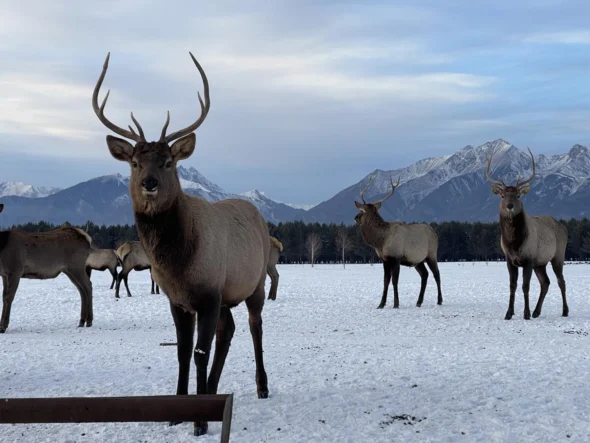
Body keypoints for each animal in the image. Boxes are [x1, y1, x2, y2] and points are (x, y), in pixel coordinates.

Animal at [93, 50, 272, 436]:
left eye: (168, 161)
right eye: (134, 161)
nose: (149, 183)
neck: (178, 263)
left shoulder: (208, 293)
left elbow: (199, 352)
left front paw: (200, 420)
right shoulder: (179, 299)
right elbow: (182, 349)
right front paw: (178, 411)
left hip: (255, 282)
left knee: (254, 326)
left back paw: (262, 386)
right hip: (227, 295)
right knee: (228, 330)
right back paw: (216, 389)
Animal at [354, 176, 442, 308]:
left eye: (362, 211)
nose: (355, 218)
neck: (380, 242)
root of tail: (435, 233)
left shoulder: (395, 257)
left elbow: (395, 281)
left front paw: (396, 303)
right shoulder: (385, 259)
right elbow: (386, 281)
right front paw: (381, 304)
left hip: (431, 254)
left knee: (436, 274)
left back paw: (439, 300)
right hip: (417, 260)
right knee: (425, 275)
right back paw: (419, 302)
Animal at [488, 148, 572, 320]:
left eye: (518, 195)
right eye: (502, 195)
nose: (510, 205)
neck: (514, 243)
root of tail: (564, 227)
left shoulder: (528, 259)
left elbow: (525, 286)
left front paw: (525, 313)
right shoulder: (509, 259)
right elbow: (512, 285)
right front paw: (509, 313)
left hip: (558, 255)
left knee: (561, 281)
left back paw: (564, 311)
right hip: (540, 263)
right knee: (546, 282)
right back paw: (537, 311)